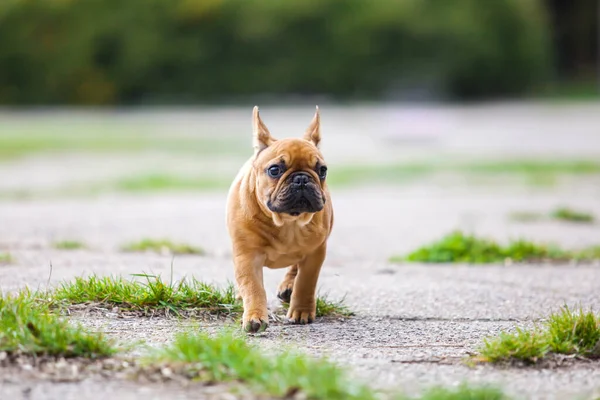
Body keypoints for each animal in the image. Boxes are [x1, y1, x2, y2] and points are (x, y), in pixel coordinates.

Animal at [227, 105, 336, 332]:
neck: (288, 221)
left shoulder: (316, 253)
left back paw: (288, 287)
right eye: (275, 170)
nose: (302, 178)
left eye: (322, 170)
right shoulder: (247, 256)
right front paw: (255, 316)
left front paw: (302, 311)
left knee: (295, 269)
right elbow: (253, 287)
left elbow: (305, 282)